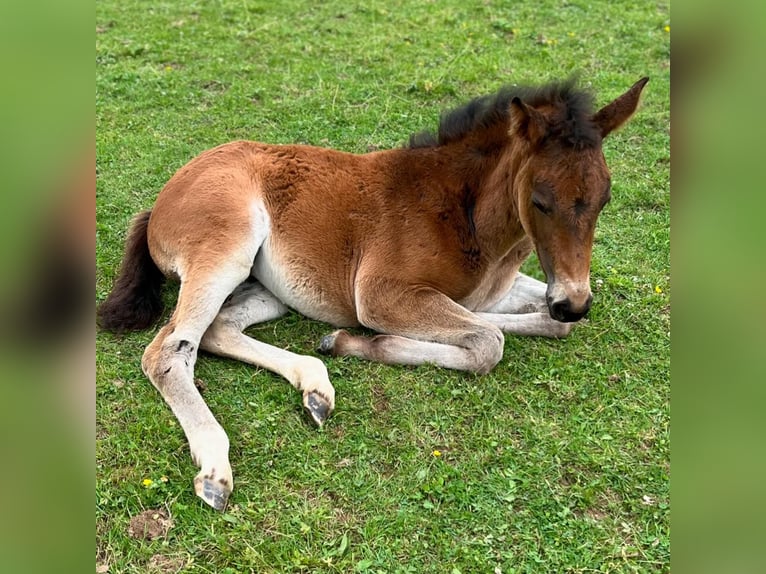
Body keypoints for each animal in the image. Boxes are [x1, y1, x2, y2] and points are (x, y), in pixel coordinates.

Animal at [96, 75, 648, 508]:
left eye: (605, 197)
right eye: (540, 200)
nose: (573, 301)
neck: (466, 214)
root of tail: (162, 199)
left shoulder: (498, 291)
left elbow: (527, 323)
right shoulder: (380, 293)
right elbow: (488, 341)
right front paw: (361, 341)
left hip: (266, 287)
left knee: (217, 331)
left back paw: (315, 387)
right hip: (226, 250)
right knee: (169, 350)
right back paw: (215, 470)